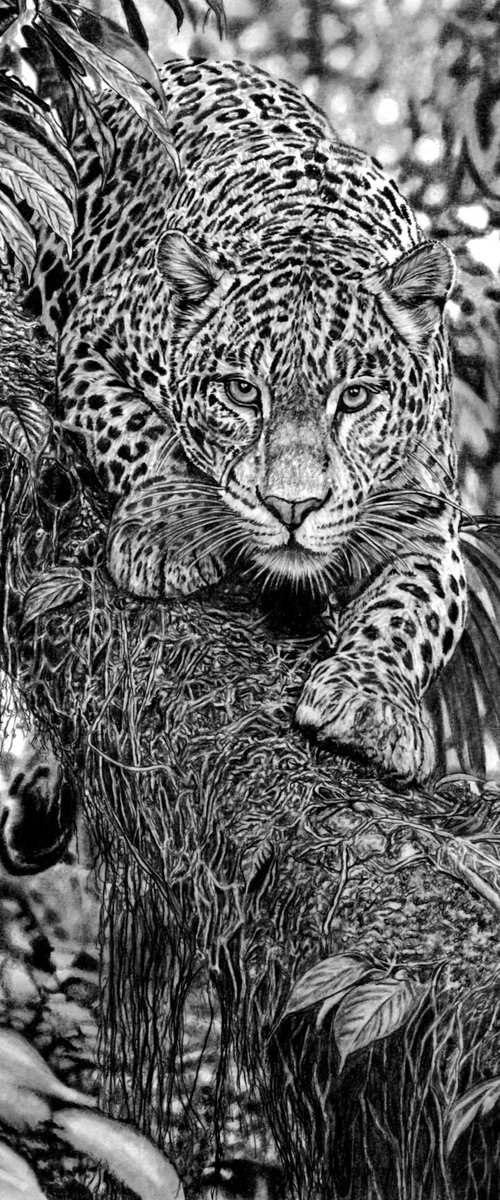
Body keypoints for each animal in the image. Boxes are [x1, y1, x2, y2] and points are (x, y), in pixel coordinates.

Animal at [24, 57, 468, 790]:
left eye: (354, 398)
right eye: (240, 392)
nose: (292, 508)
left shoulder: (428, 522)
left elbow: (412, 612)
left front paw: (371, 701)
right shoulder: (92, 340)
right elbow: (143, 437)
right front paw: (171, 528)